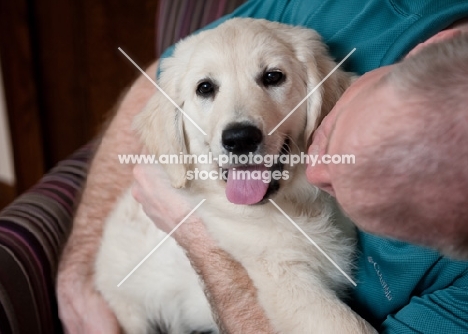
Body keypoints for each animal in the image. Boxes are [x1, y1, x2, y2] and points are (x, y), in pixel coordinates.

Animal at [95, 18, 376, 334]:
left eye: (273, 77)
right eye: (205, 88)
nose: (240, 139)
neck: (295, 206)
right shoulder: (283, 278)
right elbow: (351, 325)